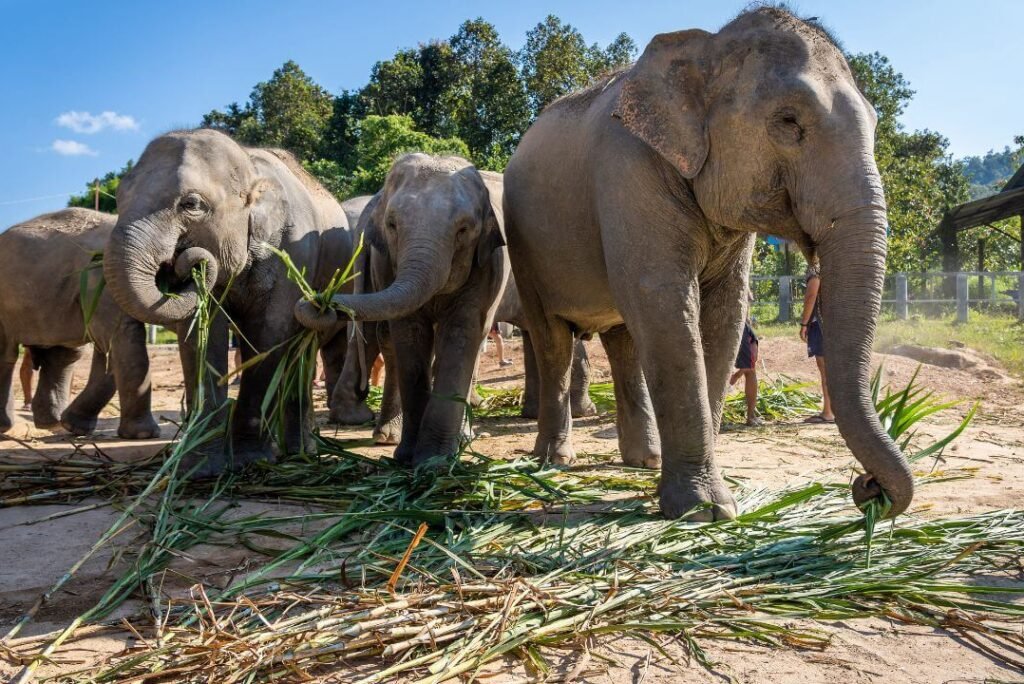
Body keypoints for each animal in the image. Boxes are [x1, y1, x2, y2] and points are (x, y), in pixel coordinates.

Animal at [0, 205, 158, 438]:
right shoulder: (103, 280)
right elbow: (121, 338)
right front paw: (143, 436)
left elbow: (110, 348)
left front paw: (75, 427)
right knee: (7, 353)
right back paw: (9, 426)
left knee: (62, 355)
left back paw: (52, 423)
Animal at [101, 127, 354, 475]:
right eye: (120, 196)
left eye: (191, 204)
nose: (184, 262)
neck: (250, 167)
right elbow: (201, 336)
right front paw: (200, 466)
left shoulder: (293, 254)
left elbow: (269, 334)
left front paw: (251, 459)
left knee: (302, 350)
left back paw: (299, 454)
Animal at [294, 154, 505, 464]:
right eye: (392, 225)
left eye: (464, 230)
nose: (321, 303)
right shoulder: (386, 263)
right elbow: (409, 334)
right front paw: (410, 458)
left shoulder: (486, 266)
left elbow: (461, 333)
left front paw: (433, 461)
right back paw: (386, 435)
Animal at [503, 5, 913, 520]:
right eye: (788, 121)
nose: (866, 487)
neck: (707, 47)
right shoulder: (627, 171)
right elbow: (664, 299)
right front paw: (703, 511)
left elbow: (724, 313)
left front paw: (711, 502)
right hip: (525, 248)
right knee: (553, 339)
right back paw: (553, 461)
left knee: (624, 341)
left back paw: (643, 459)